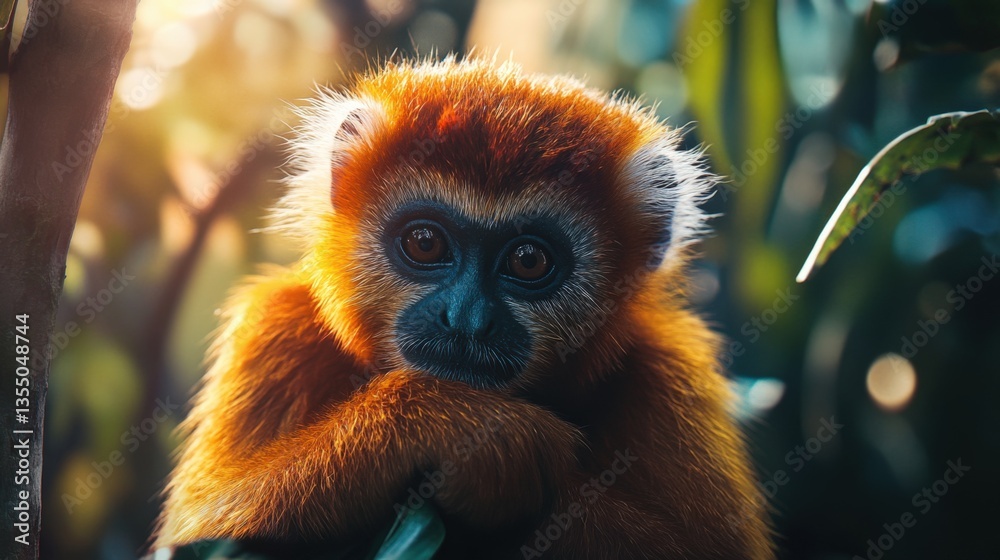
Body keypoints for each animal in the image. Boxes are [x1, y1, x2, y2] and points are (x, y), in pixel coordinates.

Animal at [153, 58, 773, 559]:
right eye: (426, 244)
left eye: (528, 260)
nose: (467, 319)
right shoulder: (278, 326)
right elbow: (201, 526)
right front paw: (466, 433)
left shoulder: (668, 374)